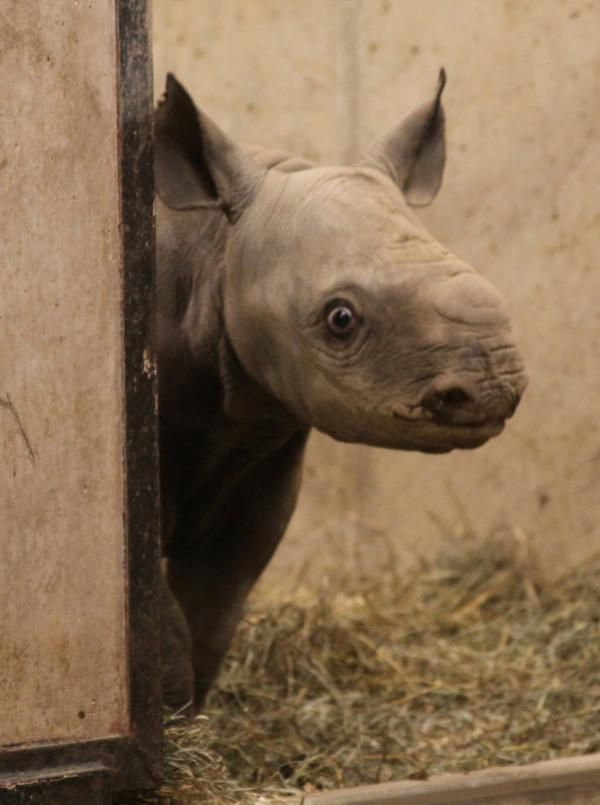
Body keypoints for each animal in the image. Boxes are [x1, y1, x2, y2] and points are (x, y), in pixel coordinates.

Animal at [154, 70, 524, 708]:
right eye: (340, 319)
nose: (493, 386)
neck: (215, 256)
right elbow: (163, 630)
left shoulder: (262, 446)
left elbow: (210, 614)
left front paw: (190, 718)